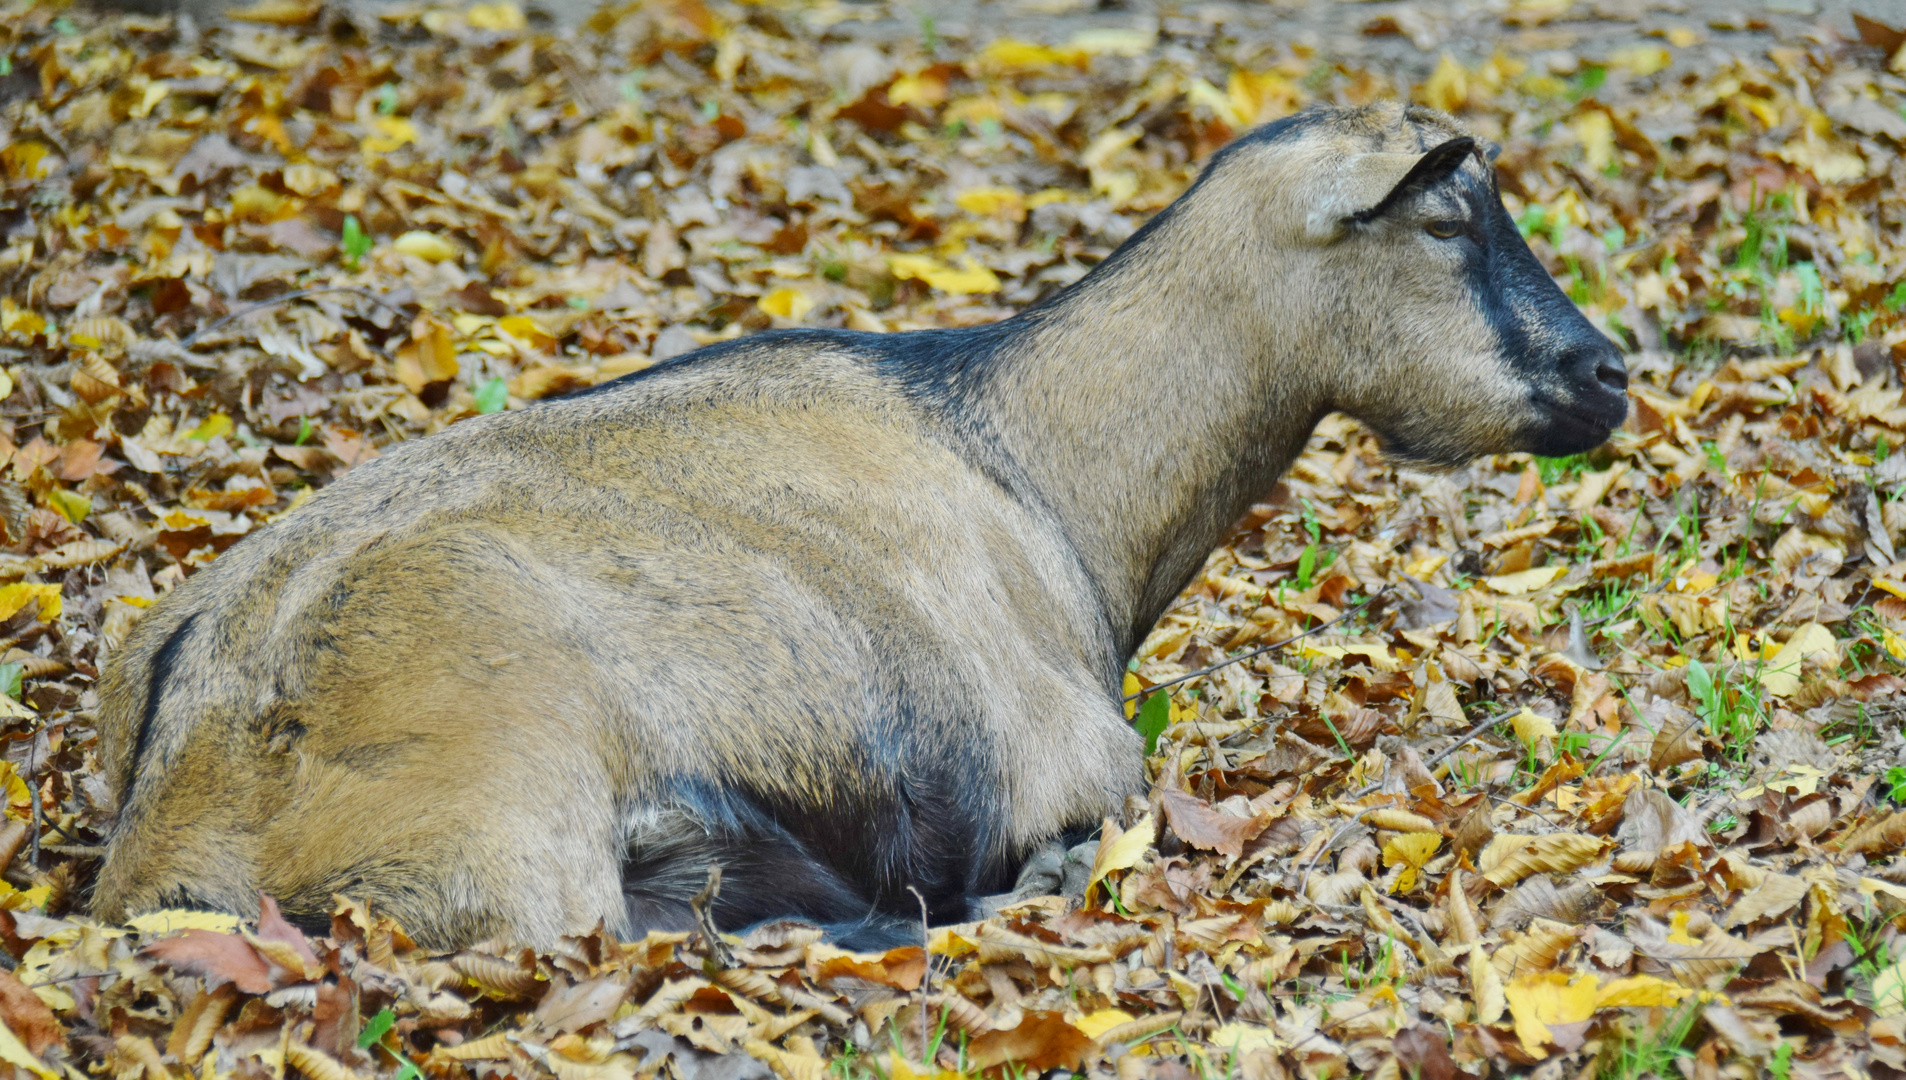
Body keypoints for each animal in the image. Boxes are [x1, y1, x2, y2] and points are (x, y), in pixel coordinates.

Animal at [89, 101, 1631, 944]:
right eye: (1446, 222)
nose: (1608, 373)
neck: (1023, 461)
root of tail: (189, 781)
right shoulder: (1074, 762)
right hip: (515, 829)